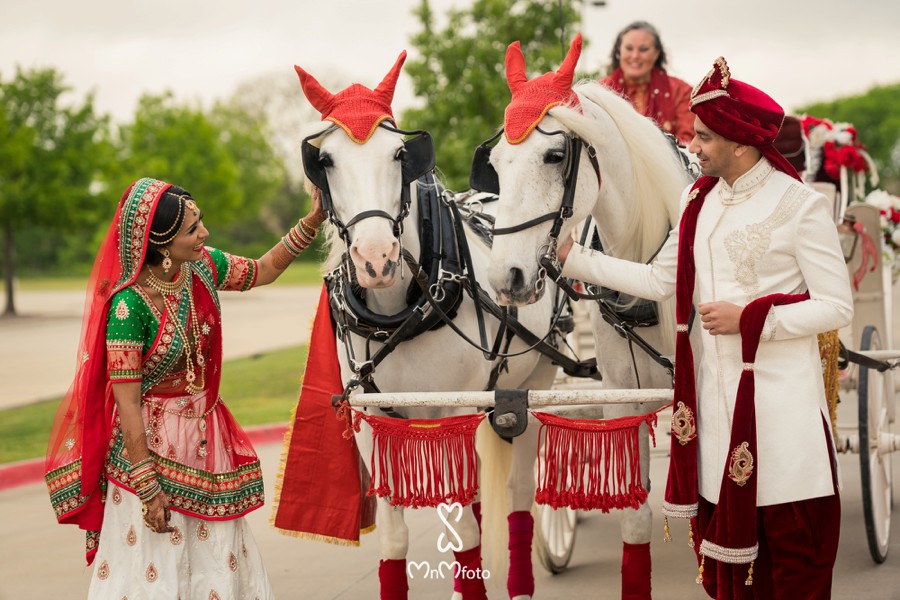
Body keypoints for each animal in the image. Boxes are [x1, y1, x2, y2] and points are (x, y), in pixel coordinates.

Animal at [296, 54, 564, 596]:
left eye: (400, 153)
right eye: (326, 161)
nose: (377, 258)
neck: (403, 309)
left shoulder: (454, 411)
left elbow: (464, 527)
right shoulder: (372, 420)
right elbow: (395, 537)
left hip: (535, 384)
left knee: (519, 491)